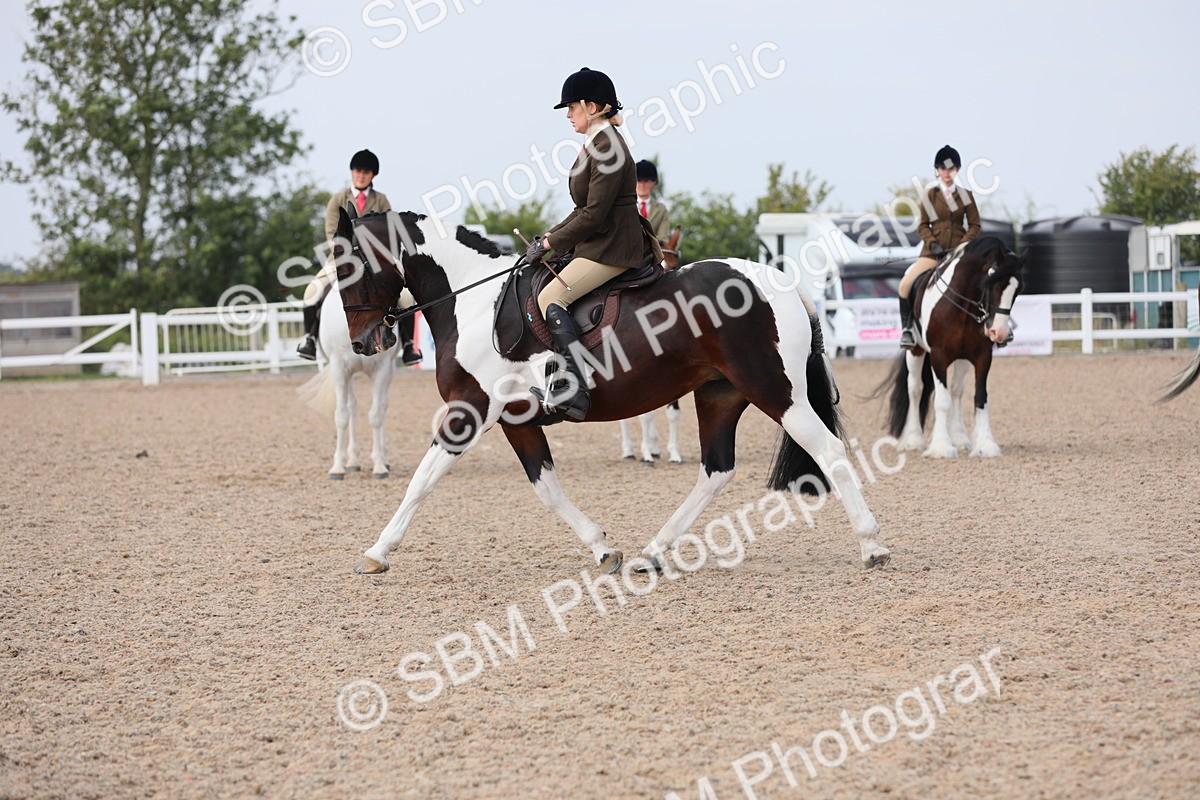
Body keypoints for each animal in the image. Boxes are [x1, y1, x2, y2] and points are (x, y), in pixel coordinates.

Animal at [296, 284, 399, 479]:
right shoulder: (339, 369)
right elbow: (342, 416)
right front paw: (337, 467)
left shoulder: (381, 368)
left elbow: (375, 416)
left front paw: (379, 465)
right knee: (352, 407)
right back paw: (353, 461)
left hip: (390, 369)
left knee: (383, 406)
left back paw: (384, 458)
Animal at [618, 226, 685, 463]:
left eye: (675, 268)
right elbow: (644, 415)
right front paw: (646, 452)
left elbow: (673, 413)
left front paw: (674, 453)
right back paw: (629, 449)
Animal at [877, 236, 1028, 458]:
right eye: (991, 283)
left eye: (1018, 290)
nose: (998, 332)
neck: (962, 306)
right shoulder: (938, 356)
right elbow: (941, 400)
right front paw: (941, 447)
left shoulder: (982, 356)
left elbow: (980, 397)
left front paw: (985, 444)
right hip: (916, 351)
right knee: (915, 388)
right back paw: (913, 440)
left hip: (962, 358)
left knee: (956, 390)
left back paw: (959, 438)